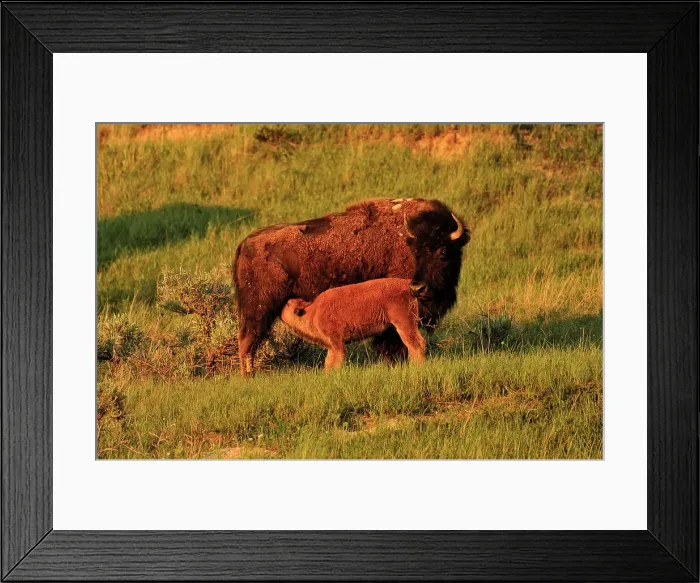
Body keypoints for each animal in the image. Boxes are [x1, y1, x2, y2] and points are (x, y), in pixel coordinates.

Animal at [280, 278, 425, 371]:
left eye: (288, 304)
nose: (285, 300)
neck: (313, 311)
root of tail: (408, 285)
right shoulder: (331, 346)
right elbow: (328, 362)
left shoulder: (337, 341)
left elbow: (337, 360)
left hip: (404, 323)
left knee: (415, 344)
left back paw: (416, 367)